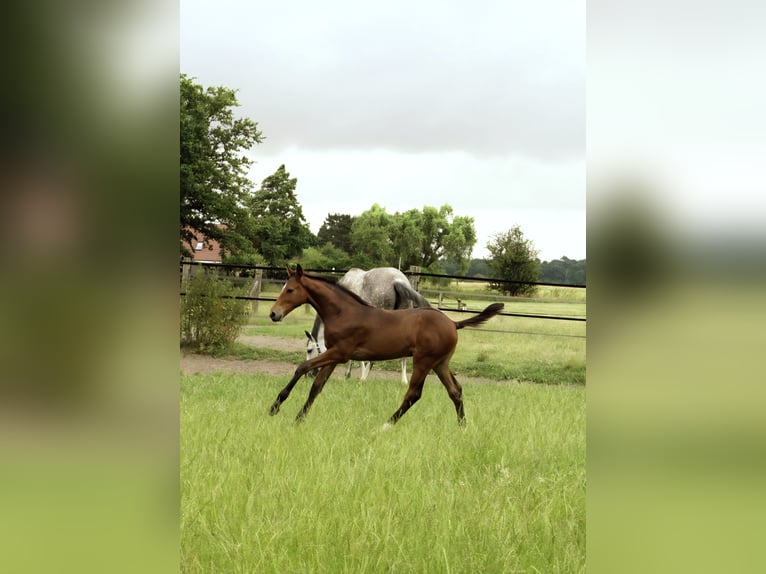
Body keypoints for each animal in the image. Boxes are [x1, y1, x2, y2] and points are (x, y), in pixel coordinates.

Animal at [269, 264, 504, 425]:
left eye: (290, 290)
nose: (273, 314)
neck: (343, 312)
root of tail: (454, 323)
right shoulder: (334, 356)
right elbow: (317, 387)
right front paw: (298, 419)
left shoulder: (340, 353)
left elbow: (302, 368)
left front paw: (275, 406)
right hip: (440, 363)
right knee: (455, 391)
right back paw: (463, 427)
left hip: (424, 362)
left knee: (413, 394)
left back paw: (385, 425)